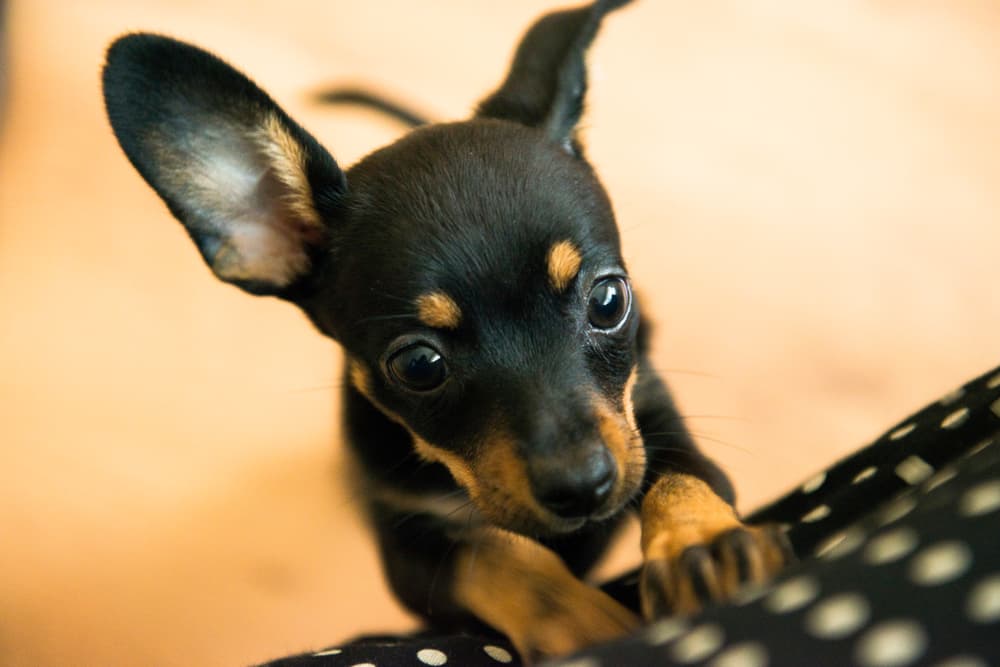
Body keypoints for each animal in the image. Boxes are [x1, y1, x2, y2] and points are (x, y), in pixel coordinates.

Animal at [101, 0, 788, 656]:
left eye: (609, 301)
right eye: (418, 365)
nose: (583, 487)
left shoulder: (655, 428)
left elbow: (680, 478)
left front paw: (703, 547)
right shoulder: (411, 551)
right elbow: (494, 553)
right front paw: (588, 621)